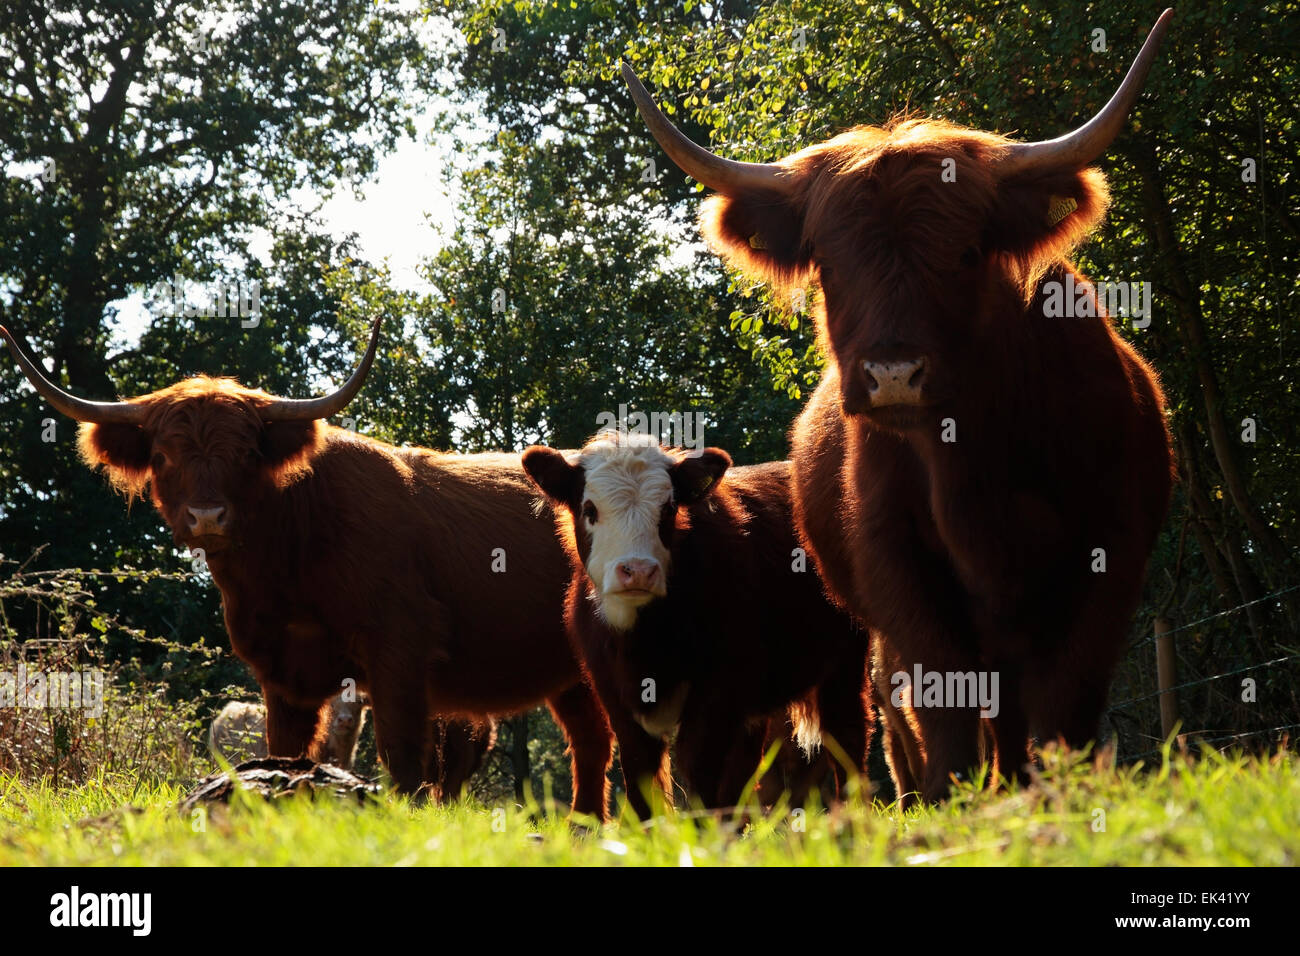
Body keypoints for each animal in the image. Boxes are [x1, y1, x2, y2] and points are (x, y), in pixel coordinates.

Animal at [1, 321, 613, 816]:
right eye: (162, 456)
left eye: (247, 454)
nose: (207, 516)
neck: (285, 567)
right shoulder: (279, 671)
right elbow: (285, 750)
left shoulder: (400, 649)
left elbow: (402, 753)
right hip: (570, 673)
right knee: (590, 740)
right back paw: (585, 826)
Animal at [522, 434, 868, 816]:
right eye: (589, 509)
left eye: (668, 509)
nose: (637, 571)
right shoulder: (615, 696)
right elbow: (640, 775)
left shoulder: (717, 691)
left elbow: (699, 770)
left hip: (845, 665)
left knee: (847, 737)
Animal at [626, 13, 1180, 806]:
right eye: (828, 261)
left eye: (968, 253)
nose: (892, 375)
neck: (972, 464)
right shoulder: (895, 569)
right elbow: (940, 699)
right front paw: (953, 801)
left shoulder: (1110, 559)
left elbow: (1064, 703)